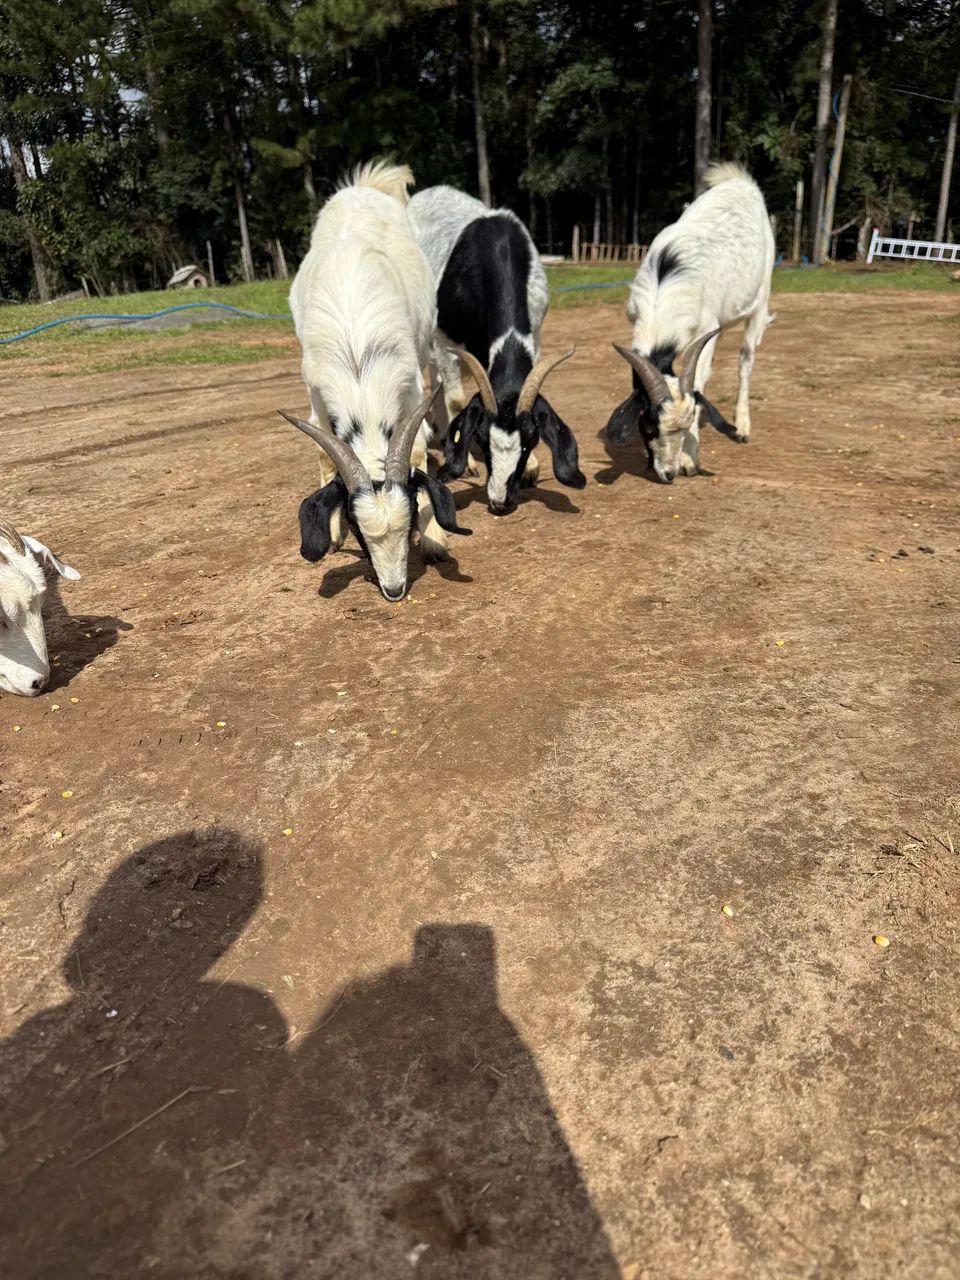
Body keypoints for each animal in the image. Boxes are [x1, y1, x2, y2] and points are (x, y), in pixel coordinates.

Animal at [283, 160, 469, 602]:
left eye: (411, 516)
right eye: (359, 530)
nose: (394, 589)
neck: (358, 361)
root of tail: (364, 187)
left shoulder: (411, 384)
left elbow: (417, 450)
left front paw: (434, 540)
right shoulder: (316, 394)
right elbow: (323, 452)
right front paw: (332, 536)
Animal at [408, 185, 585, 514]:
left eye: (530, 441)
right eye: (481, 440)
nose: (500, 501)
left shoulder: (536, 331)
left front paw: (531, 469)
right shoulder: (444, 340)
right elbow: (455, 398)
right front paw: (466, 462)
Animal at [605, 163, 775, 483]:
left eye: (686, 426)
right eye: (649, 425)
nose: (668, 473)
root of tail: (741, 183)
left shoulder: (707, 327)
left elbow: (698, 379)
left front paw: (689, 459)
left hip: (760, 297)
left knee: (746, 360)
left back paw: (742, 426)